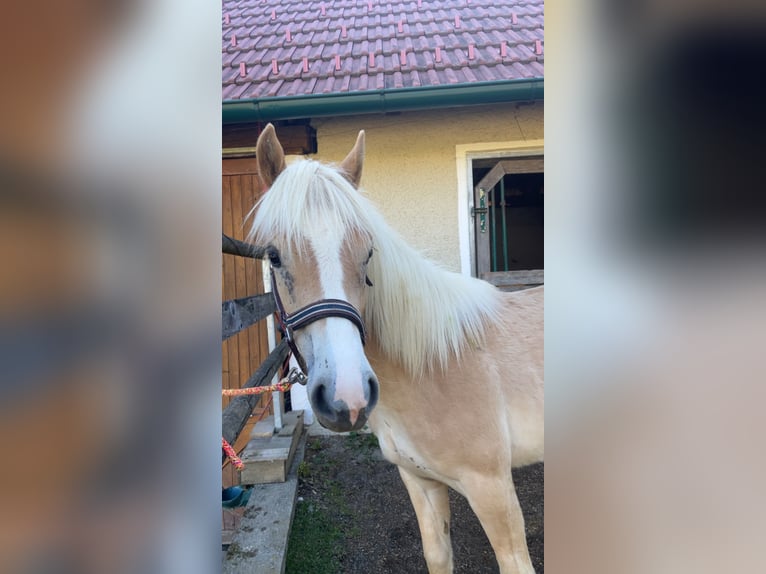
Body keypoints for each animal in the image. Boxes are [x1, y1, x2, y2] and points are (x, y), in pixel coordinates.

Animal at [249, 126, 544, 574]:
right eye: (274, 255)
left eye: (367, 253)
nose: (348, 397)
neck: (435, 366)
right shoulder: (420, 483)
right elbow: (437, 555)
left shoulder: (493, 490)